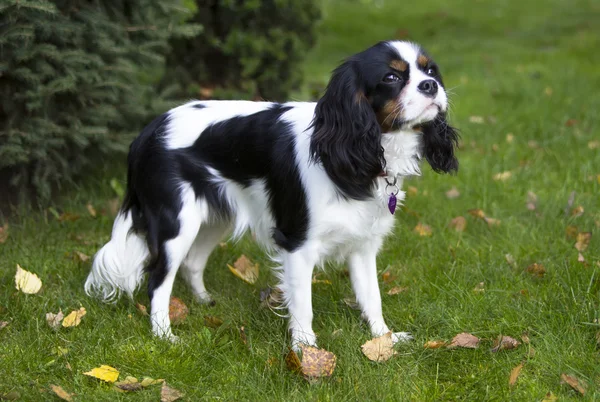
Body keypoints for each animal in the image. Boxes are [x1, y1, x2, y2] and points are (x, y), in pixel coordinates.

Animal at [85, 40, 460, 348]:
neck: (363, 151)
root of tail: (148, 131)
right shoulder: (298, 244)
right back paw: (164, 335)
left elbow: (372, 295)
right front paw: (307, 352)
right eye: (391, 78)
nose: (431, 85)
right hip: (177, 224)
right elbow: (303, 306)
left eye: (430, 70)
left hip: (214, 218)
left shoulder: (363, 243)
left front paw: (383, 339)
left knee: (192, 262)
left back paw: (204, 302)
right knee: (158, 279)